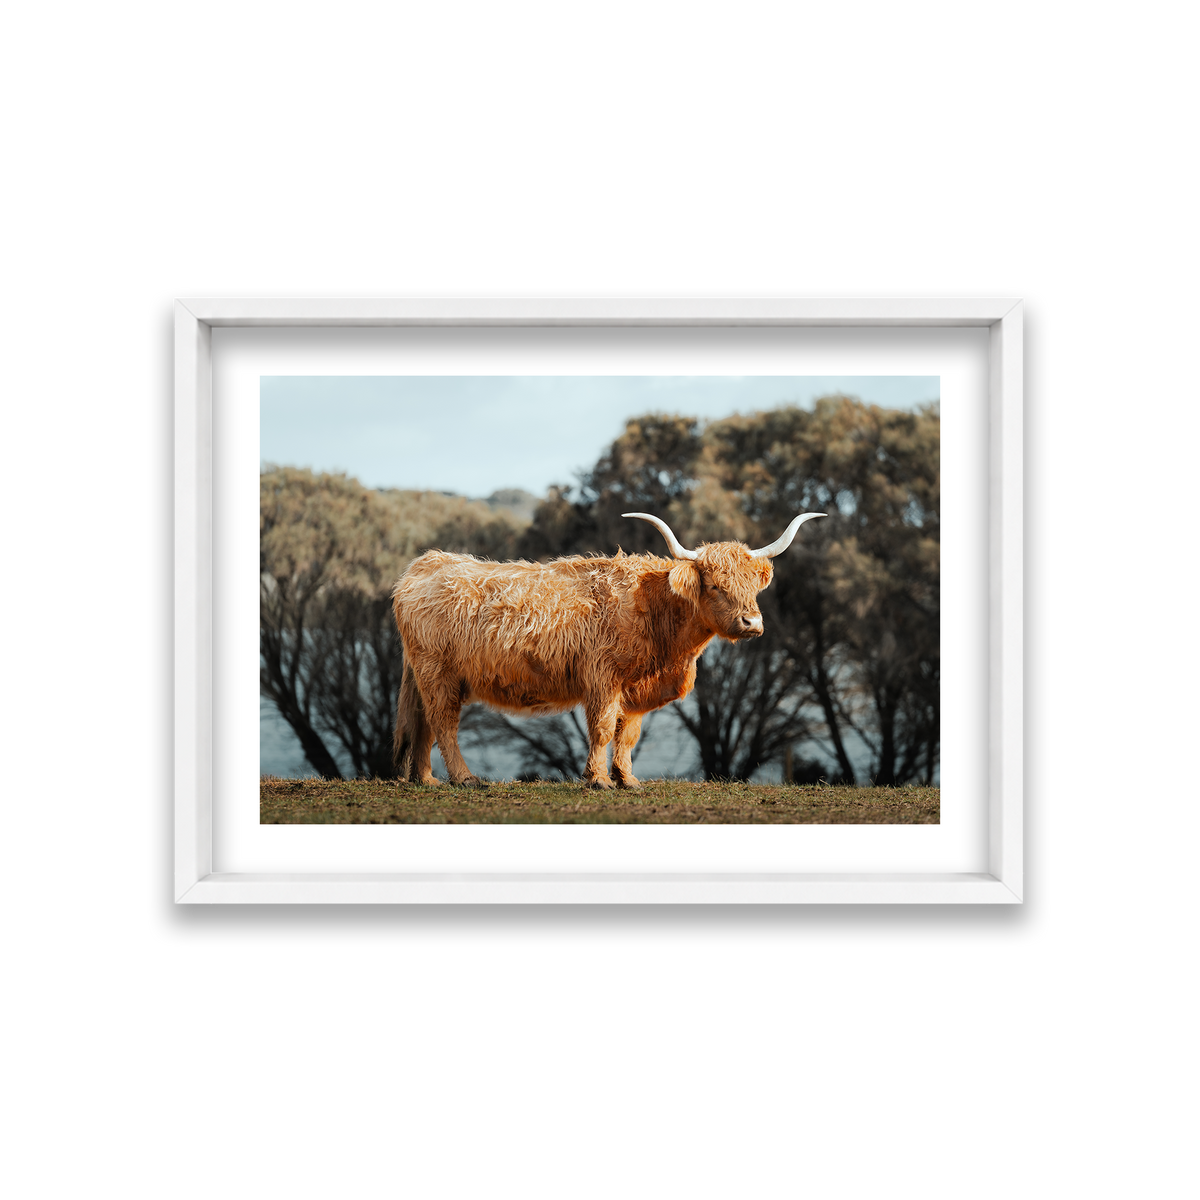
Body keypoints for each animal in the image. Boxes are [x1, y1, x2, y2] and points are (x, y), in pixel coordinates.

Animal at [391, 510, 826, 790]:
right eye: (716, 586)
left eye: (753, 586)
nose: (752, 623)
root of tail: (426, 563)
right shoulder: (603, 678)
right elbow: (601, 729)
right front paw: (598, 780)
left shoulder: (634, 688)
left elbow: (628, 734)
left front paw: (628, 779)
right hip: (438, 672)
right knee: (443, 723)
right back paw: (464, 779)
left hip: (429, 675)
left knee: (424, 724)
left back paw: (426, 779)